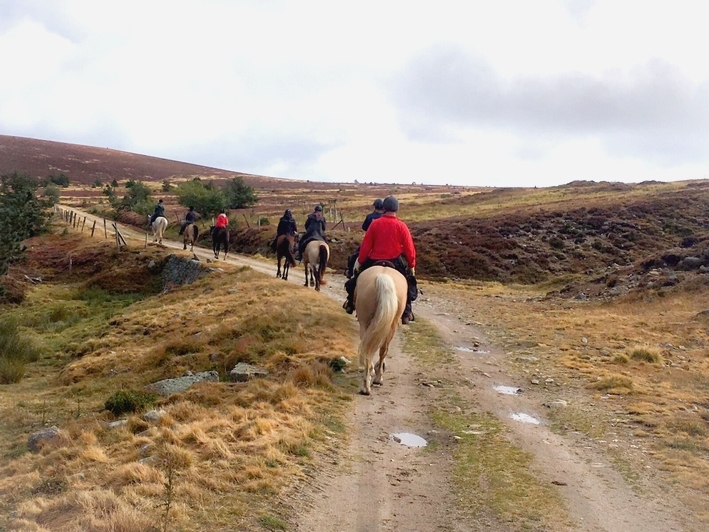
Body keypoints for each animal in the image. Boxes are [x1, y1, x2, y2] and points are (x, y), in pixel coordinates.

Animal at [356, 266, 406, 394]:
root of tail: (383, 276)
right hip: (391, 326)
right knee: (382, 349)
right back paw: (377, 378)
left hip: (365, 323)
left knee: (368, 349)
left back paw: (366, 385)